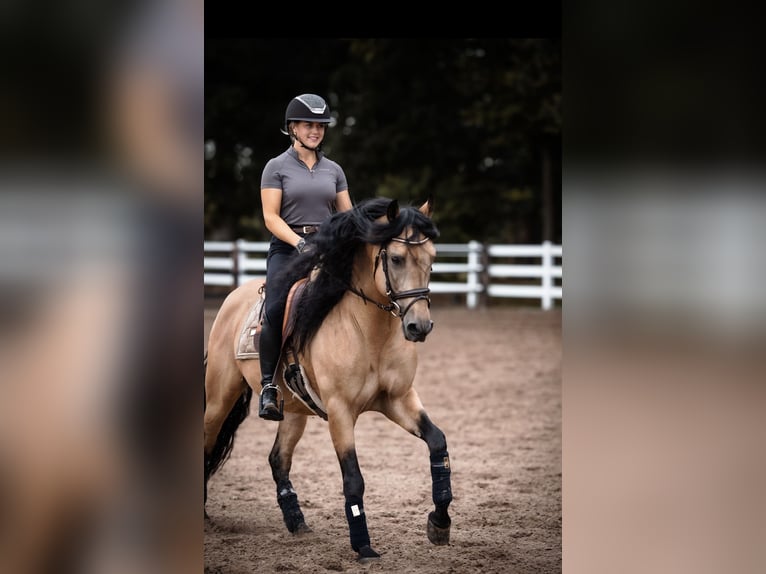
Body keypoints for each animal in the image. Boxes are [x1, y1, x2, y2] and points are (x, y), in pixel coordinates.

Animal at [203, 197, 452, 563]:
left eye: (432, 258)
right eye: (396, 258)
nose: (419, 326)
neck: (368, 332)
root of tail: (233, 297)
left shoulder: (399, 399)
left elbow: (438, 443)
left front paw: (439, 523)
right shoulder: (340, 411)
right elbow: (353, 479)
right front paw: (363, 546)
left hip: (293, 410)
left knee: (278, 459)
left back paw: (297, 523)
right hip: (220, 398)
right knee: (208, 444)